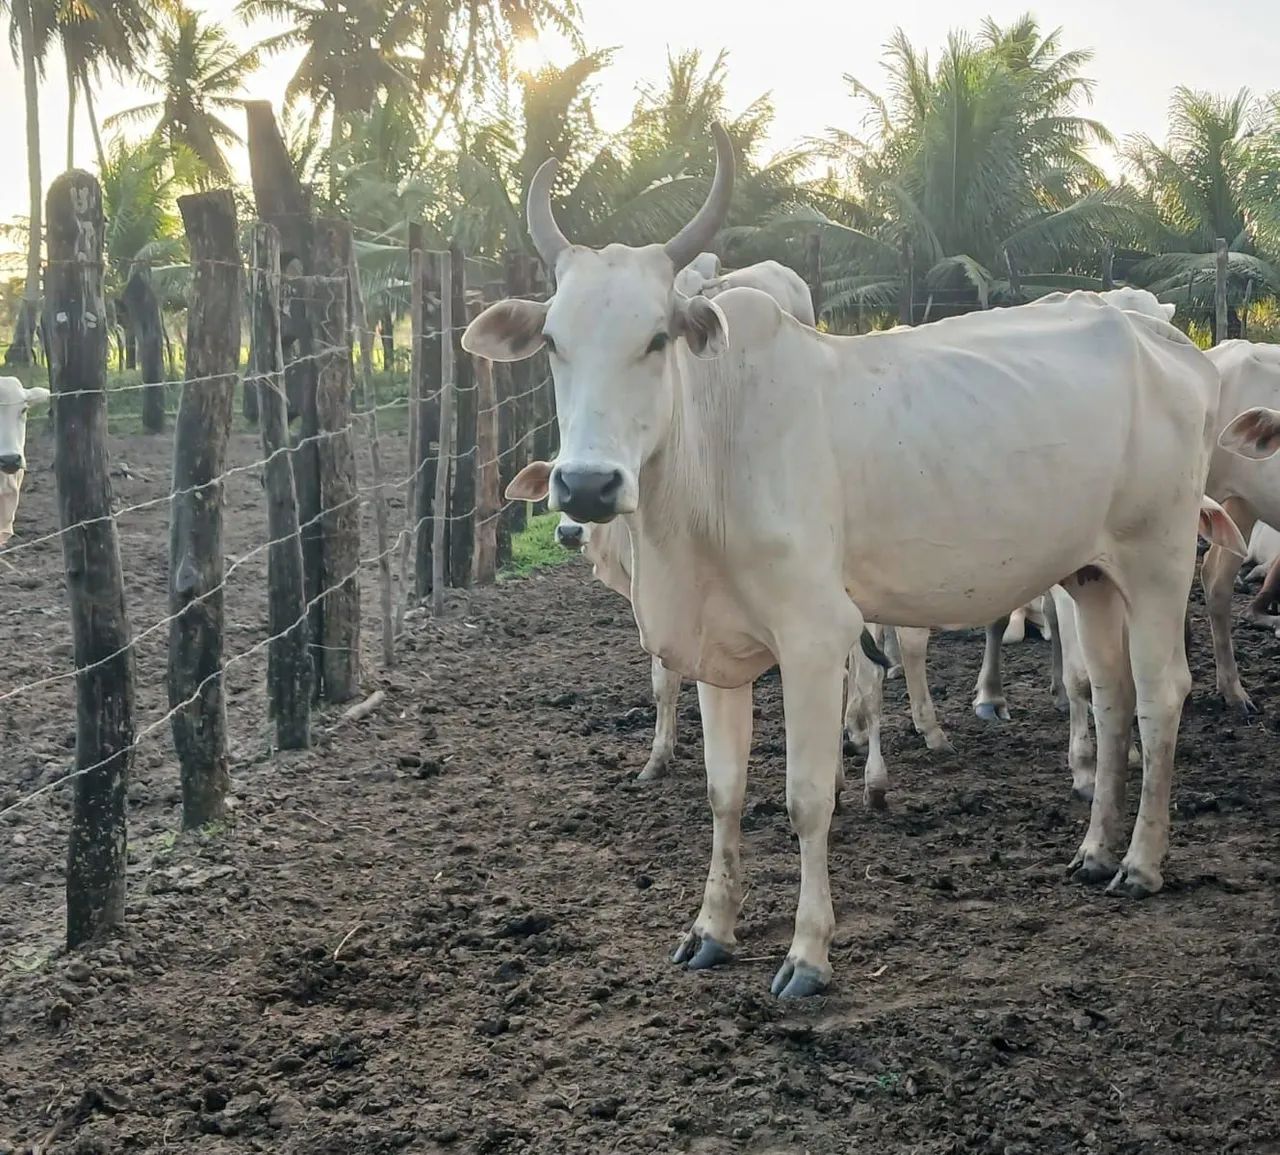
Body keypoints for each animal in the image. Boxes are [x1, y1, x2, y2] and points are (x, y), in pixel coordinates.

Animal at [465, 124, 1228, 999]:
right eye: (554, 342)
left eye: (656, 338)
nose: (587, 484)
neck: (710, 458)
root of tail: (1170, 341)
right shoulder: (716, 649)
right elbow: (724, 791)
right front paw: (710, 929)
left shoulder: (813, 636)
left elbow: (805, 797)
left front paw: (807, 952)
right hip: (1091, 574)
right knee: (1107, 693)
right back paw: (1095, 850)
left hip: (1159, 558)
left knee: (1162, 693)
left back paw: (1140, 863)